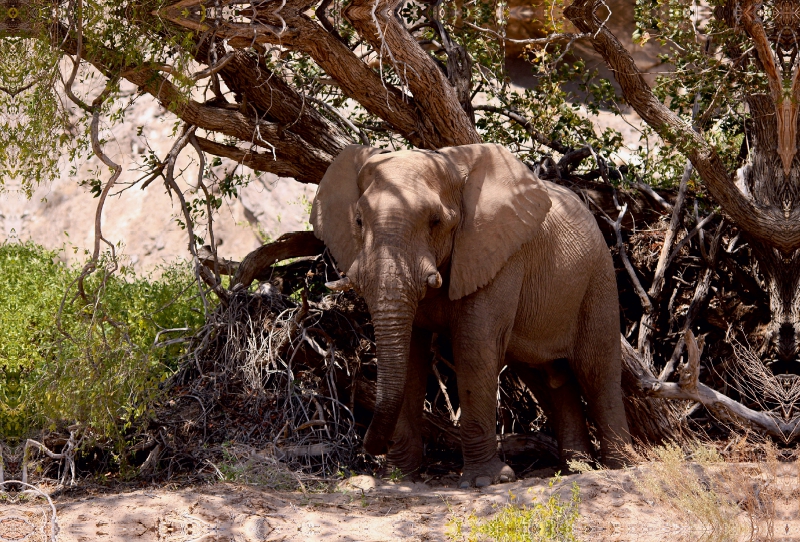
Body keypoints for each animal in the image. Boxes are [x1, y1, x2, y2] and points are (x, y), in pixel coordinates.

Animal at [310, 142, 628, 486]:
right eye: (358, 221)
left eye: (436, 221)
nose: (369, 449)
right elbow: (412, 356)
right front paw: (397, 476)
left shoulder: (498, 255)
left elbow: (474, 347)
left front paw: (486, 481)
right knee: (550, 378)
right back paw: (576, 469)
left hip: (598, 278)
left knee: (596, 369)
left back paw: (620, 465)